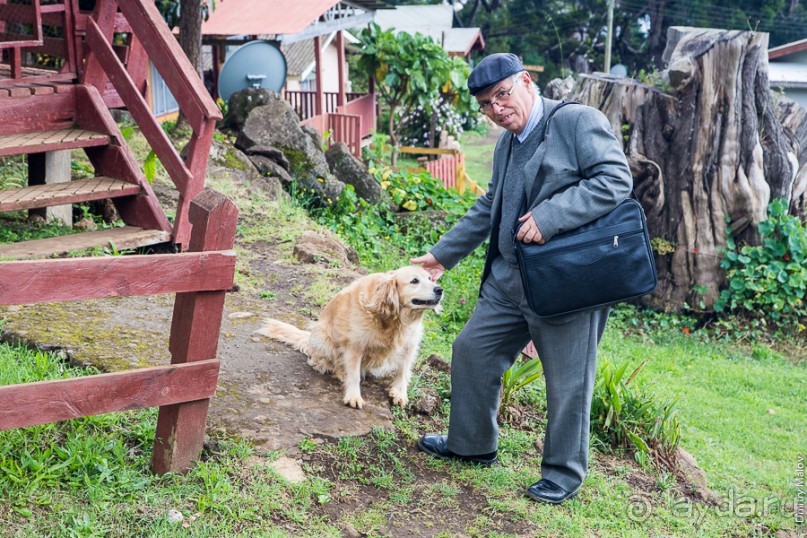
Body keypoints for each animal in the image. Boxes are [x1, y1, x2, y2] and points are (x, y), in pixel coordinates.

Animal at [258, 266, 442, 408]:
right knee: (324, 362)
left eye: (430, 278)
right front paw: (353, 396)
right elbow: (354, 375)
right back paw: (339, 372)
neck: (395, 320)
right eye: (414, 281)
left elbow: (403, 371)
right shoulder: (354, 345)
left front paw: (399, 393)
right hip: (322, 340)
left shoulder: (410, 344)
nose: (439, 289)